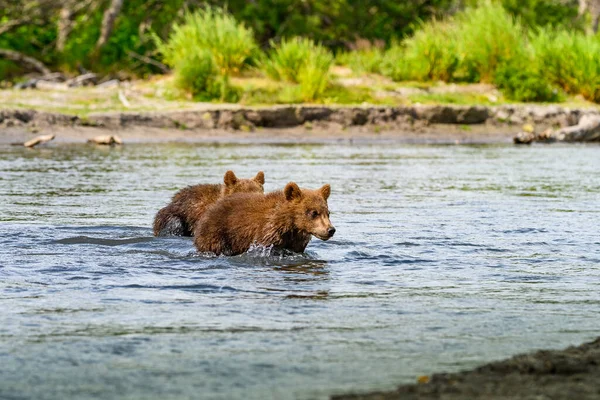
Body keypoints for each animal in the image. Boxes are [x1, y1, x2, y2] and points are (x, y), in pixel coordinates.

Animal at [193, 182, 336, 256]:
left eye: (328, 213)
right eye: (314, 213)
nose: (330, 230)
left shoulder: (297, 241)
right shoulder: (268, 232)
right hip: (217, 233)